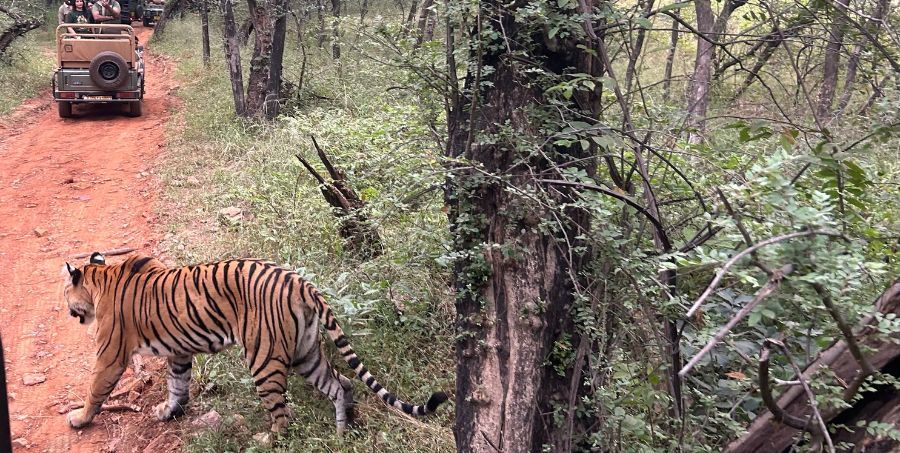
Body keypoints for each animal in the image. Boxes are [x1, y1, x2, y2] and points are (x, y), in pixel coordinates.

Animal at [62, 252, 447, 433]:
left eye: (66, 292)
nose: (67, 309)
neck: (102, 277)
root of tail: (302, 282)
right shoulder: (180, 352)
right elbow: (177, 384)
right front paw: (169, 411)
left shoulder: (111, 354)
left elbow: (95, 389)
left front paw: (79, 419)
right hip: (306, 354)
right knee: (342, 384)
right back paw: (342, 432)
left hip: (264, 359)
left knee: (283, 416)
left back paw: (269, 438)